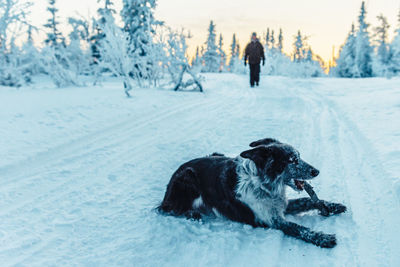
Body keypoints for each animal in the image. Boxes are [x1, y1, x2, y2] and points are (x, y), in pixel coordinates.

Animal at [159, 138, 346, 249]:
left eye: (299, 156)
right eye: (293, 160)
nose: (317, 171)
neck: (264, 184)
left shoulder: (281, 206)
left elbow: (307, 200)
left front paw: (333, 206)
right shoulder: (272, 220)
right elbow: (299, 229)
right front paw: (323, 238)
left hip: (215, 154)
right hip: (188, 176)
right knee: (169, 209)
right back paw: (193, 214)